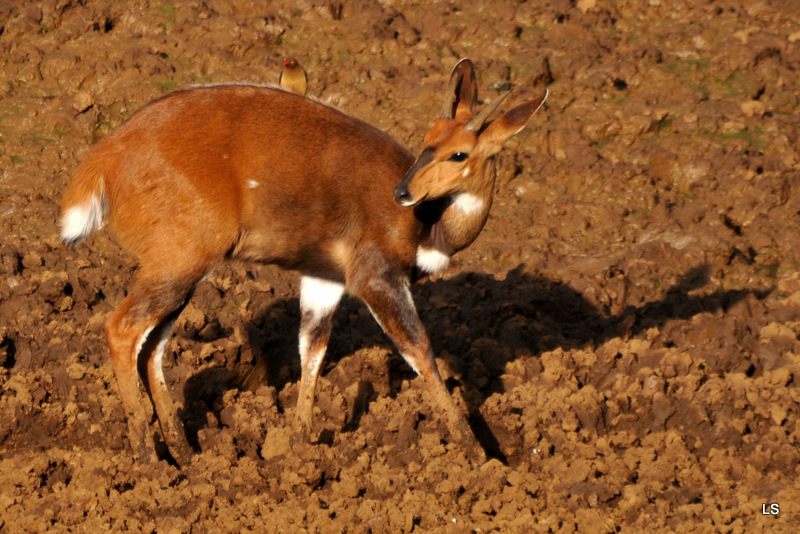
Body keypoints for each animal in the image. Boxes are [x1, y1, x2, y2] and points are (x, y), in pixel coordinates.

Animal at [61, 60, 552, 466]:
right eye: (429, 142)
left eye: (458, 152)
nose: (403, 192)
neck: (428, 226)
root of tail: (103, 160)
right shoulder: (375, 276)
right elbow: (420, 352)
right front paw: (480, 455)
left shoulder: (324, 277)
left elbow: (311, 350)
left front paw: (296, 447)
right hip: (181, 259)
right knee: (121, 328)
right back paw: (148, 460)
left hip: (183, 269)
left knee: (152, 348)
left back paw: (186, 456)